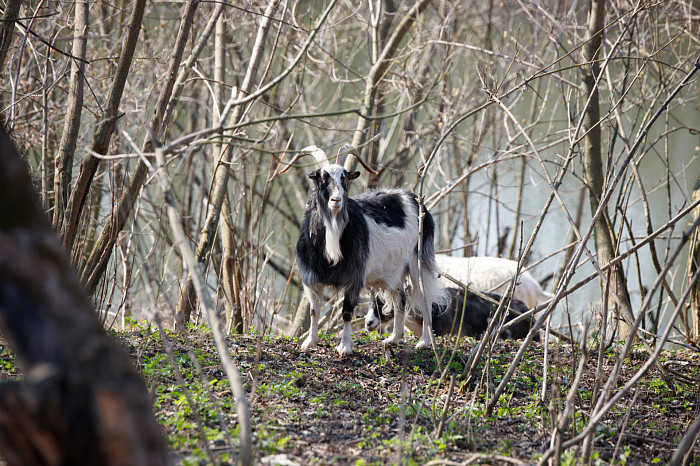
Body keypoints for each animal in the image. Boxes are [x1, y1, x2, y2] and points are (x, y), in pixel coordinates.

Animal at [278, 144, 442, 354]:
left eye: (345, 178)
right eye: (321, 179)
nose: (336, 200)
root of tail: (413, 198)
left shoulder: (354, 276)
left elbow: (347, 312)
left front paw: (344, 347)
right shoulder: (311, 278)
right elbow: (314, 311)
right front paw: (310, 342)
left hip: (418, 262)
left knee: (425, 300)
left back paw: (424, 342)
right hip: (395, 271)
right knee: (401, 300)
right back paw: (393, 339)